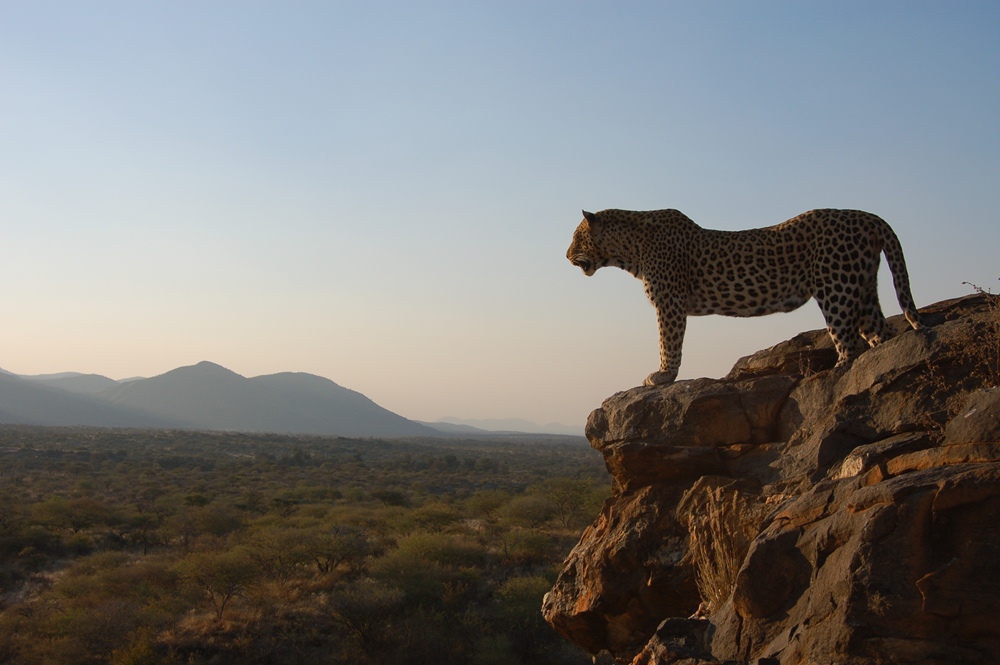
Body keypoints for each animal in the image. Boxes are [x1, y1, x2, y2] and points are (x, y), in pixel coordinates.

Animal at [568, 206, 924, 384]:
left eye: (575, 237)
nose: (566, 255)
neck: (628, 251)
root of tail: (867, 216)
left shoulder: (670, 303)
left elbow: (667, 341)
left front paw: (664, 375)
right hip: (861, 288)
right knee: (882, 334)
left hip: (836, 288)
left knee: (848, 344)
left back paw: (829, 378)